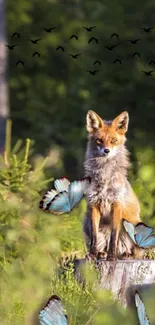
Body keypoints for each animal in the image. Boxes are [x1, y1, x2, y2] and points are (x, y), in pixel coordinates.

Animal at [83, 110, 145, 260]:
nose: (106, 151)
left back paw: (125, 254)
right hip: (86, 221)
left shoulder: (116, 205)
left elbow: (114, 236)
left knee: (135, 251)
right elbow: (94, 237)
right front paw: (92, 255)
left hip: (135, 224)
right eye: (99, 140)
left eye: (113, 140)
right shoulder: (94, 204)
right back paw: (101, 253)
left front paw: (112, 257)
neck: (105, 177)